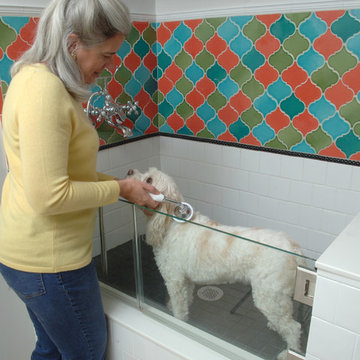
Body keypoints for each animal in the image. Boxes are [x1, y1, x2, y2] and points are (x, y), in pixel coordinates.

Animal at [128, 167, 306, 358]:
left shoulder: (175, 280)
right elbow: (186, 300)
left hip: (268, 295)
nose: (129, 171)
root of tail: (295, 250)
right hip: (277, 297)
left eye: (149, 180)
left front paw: (178, 321)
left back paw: (288, 352)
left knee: (294, 327)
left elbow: (179, 309)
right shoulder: (185, 280)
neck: (169, 223)